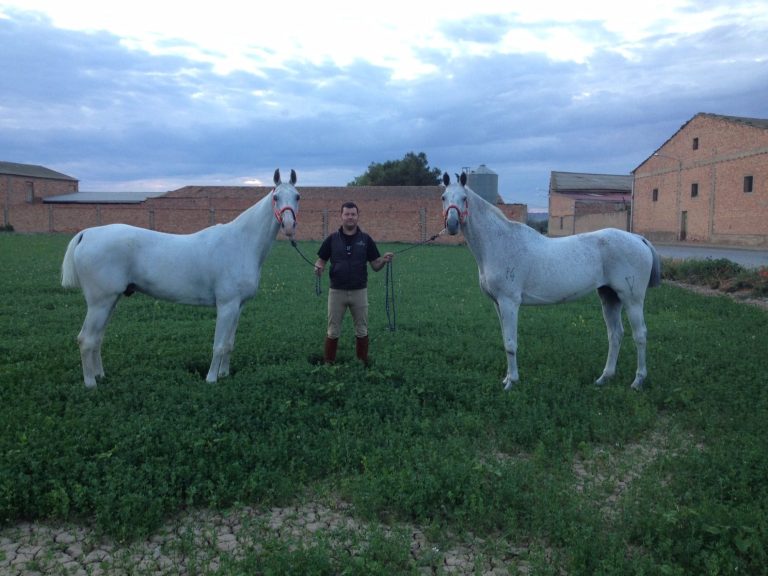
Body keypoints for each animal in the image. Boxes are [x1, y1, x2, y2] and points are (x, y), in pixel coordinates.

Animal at [60, 169, 300, 390]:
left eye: (297, 196)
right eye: (276, 197)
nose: (289, 226)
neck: (241, 243)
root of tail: (87, 234)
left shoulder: (238, 306)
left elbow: (229, 343)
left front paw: (224, 374)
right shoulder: (226, 305)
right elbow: (219, 345)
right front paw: (211, 379)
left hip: (110, 302)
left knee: (97, 339)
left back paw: (100, 376)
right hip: (100, 303)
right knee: (86, 339)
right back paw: (91, 384)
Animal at [440, 171, 664, 392]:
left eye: (464, 198)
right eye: (443, 197)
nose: (451, 225)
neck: (500, 242)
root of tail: (638, 239)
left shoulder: (509, 302)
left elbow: (511, 344)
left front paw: (512, 382)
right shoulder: (498, 304)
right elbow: (505, 340)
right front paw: (506, 379)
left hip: (632, 300)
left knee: (640, 335)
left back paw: (637, 381)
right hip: (610, 297)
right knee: (615, 334)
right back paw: (604, 378)